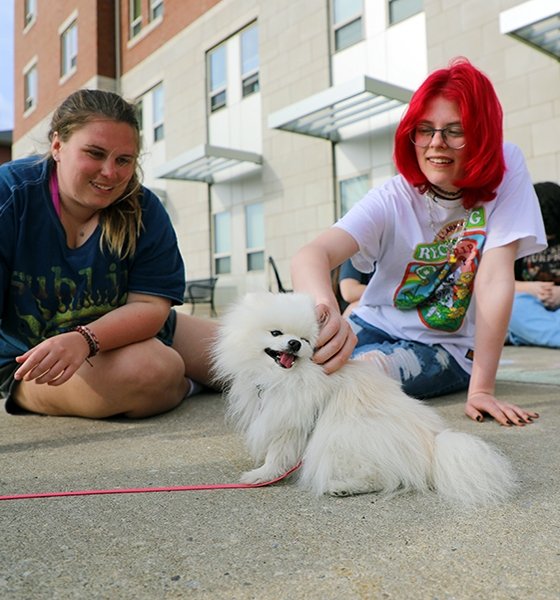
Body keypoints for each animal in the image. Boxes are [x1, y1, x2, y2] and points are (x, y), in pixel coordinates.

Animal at [213, 292, 516, 504]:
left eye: (306, 340)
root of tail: (432, 446)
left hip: (344, 435)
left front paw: (261, 475)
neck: (285, 378)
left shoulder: (292, 424)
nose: (295, 343)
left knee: (380, 475)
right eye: (276, 333)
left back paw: (342, 487)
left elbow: (277, 456)